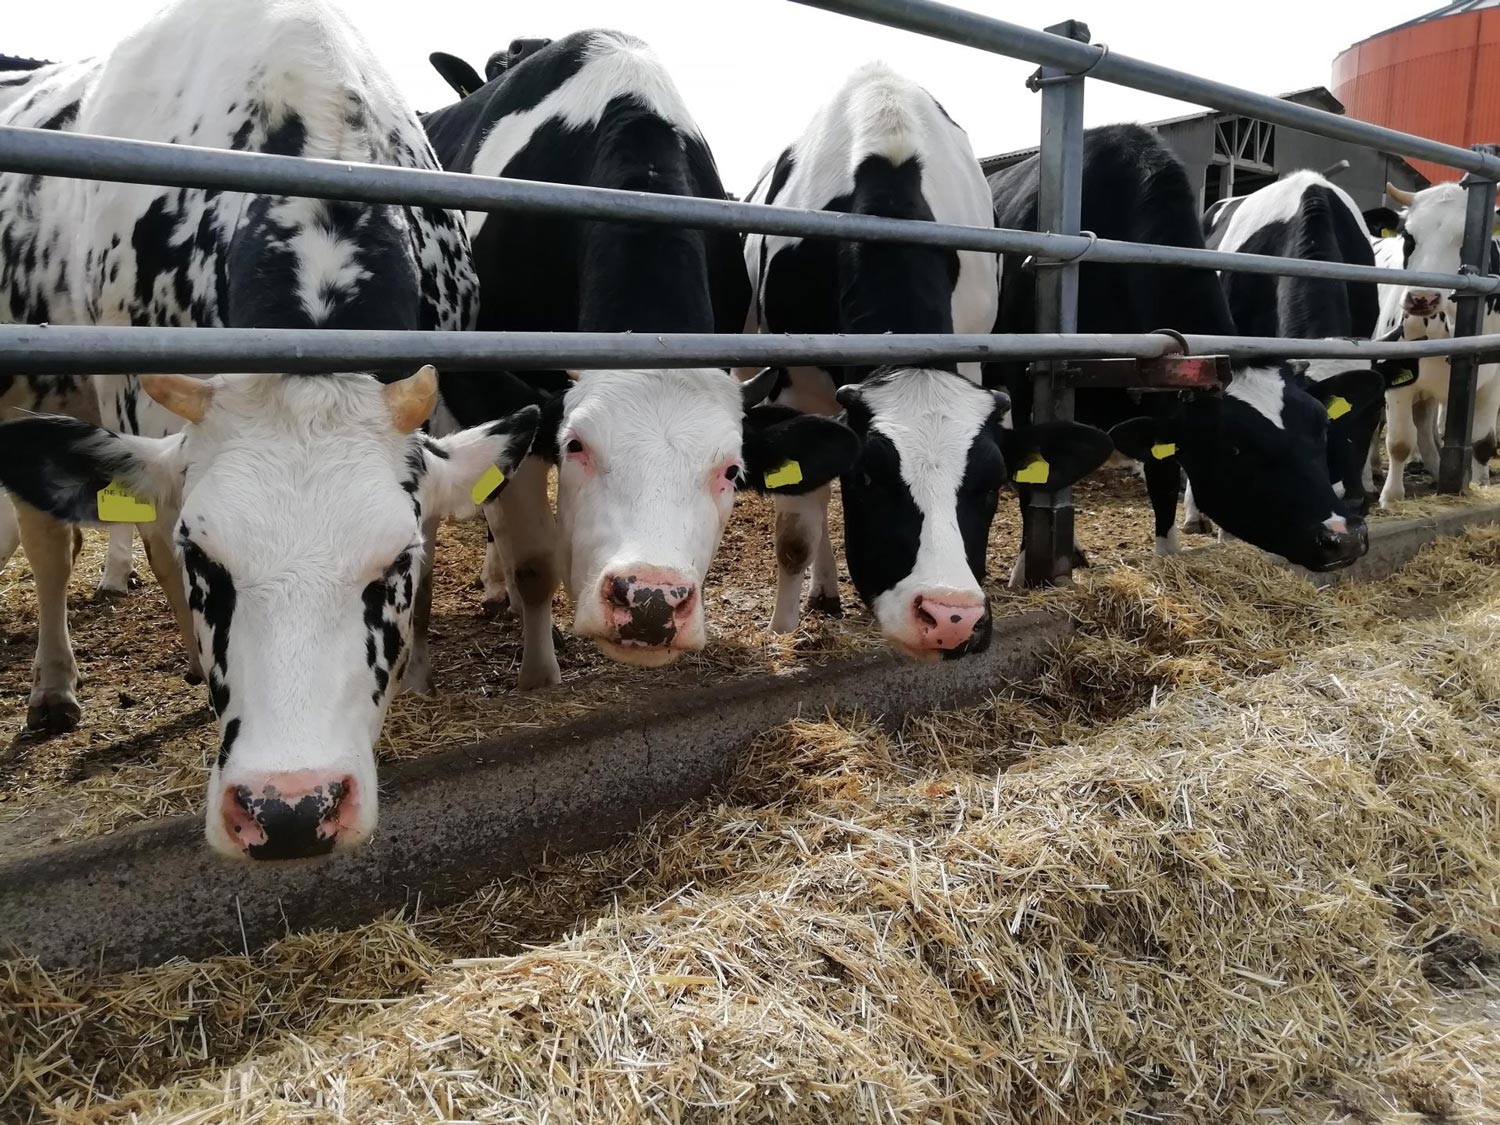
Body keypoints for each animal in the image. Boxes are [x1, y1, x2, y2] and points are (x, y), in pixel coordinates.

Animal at [0, 0, 543, 861]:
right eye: (206, 557)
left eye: (398, 563)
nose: (290, 808)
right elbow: (153, 543)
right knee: (49, 541)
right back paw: (55, 685)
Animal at [742, 62, 1112, 656]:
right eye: (867, 479)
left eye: (990, 484)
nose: (950, 616)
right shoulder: (795, 383)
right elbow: (796, 531)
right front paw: (782, 632)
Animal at [987, 125, 1369, 574]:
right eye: (1237, 448)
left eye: (1320, 428)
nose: (1345, 537)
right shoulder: (1030, 383)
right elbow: (1038, 478)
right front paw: (1025, 567)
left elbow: (1164, 477)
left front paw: (1167, 553)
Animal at [1371, 181, 1500, 506]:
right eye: (1408, 237)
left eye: (1466, 240)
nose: (1421, 298)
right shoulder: (1396, 375)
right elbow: (1399, 441)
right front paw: (1391, 498)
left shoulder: (1493, 380)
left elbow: (1483, 441)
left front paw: (1480, 483)